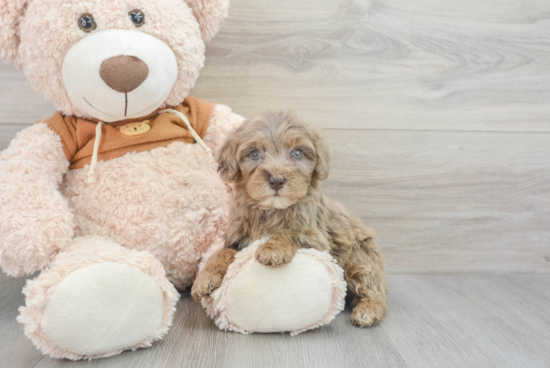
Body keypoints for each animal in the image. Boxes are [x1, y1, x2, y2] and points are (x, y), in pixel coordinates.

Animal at [192, 110, 390, 326]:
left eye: (297, 153)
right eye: (254, 154)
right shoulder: (237, 237)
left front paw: (272, 249)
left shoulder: (316, 238)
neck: (272, 210)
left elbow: (289, 231)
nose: (276, 181)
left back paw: (368, 310)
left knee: (373, 288)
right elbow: (221, 252)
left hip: (362, 258)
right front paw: (204, 279)